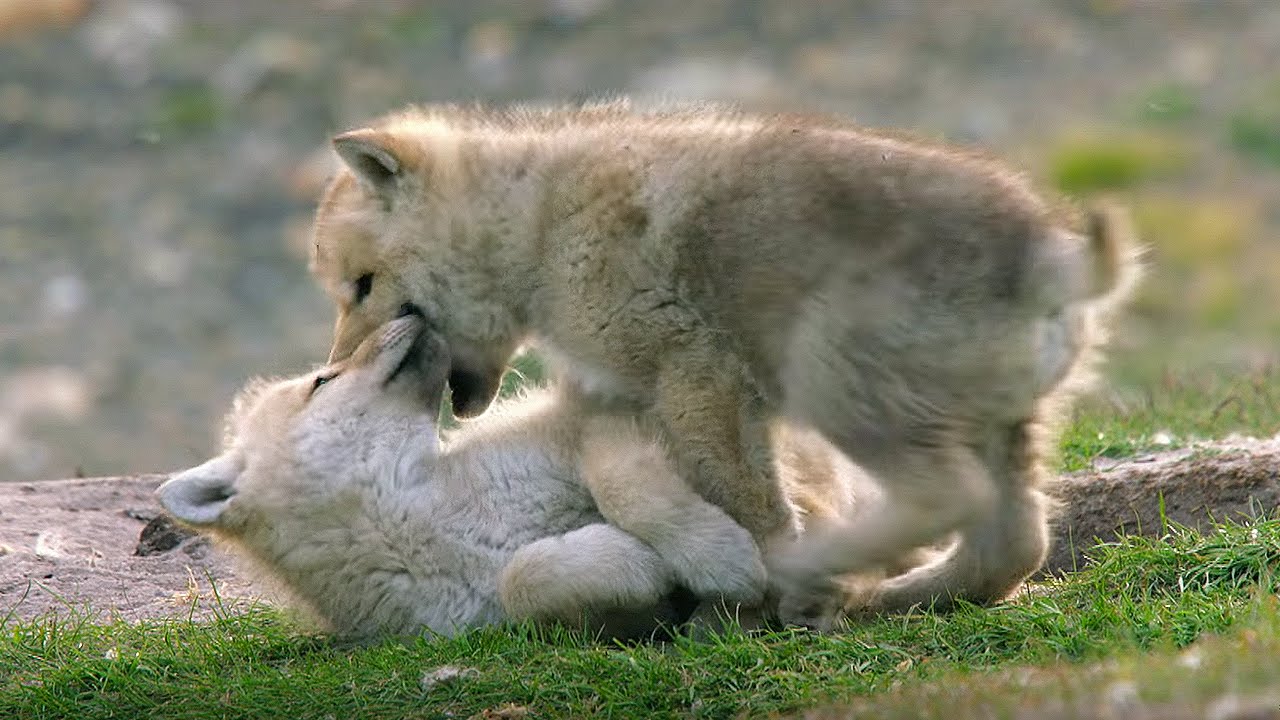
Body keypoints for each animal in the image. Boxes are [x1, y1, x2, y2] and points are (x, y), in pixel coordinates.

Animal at [308, 100, 1137, 626]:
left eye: (362, 285)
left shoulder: (698, 380)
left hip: (834, 378)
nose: (335, 368)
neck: (535, 223)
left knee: (947, 499)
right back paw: (891, 596)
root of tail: (1059, 264)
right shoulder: (633, 402)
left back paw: (816, 579)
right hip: (1001, 423)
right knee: (1013, 545)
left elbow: (747, 507)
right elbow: (679, 496)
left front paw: (744, 598)